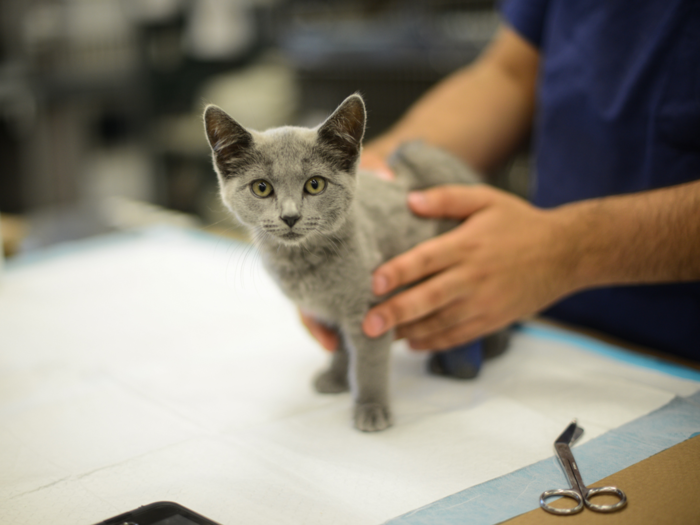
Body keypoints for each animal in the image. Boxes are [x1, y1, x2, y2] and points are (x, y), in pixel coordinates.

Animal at [204, 93, 482, 430]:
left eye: (315, 185)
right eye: (261, 187)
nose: (290, 216)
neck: (305, 264)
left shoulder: (369, 306)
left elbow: (368, 361)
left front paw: (371, 407)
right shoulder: (331, 312)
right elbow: (340, 346)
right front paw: (336, 378)